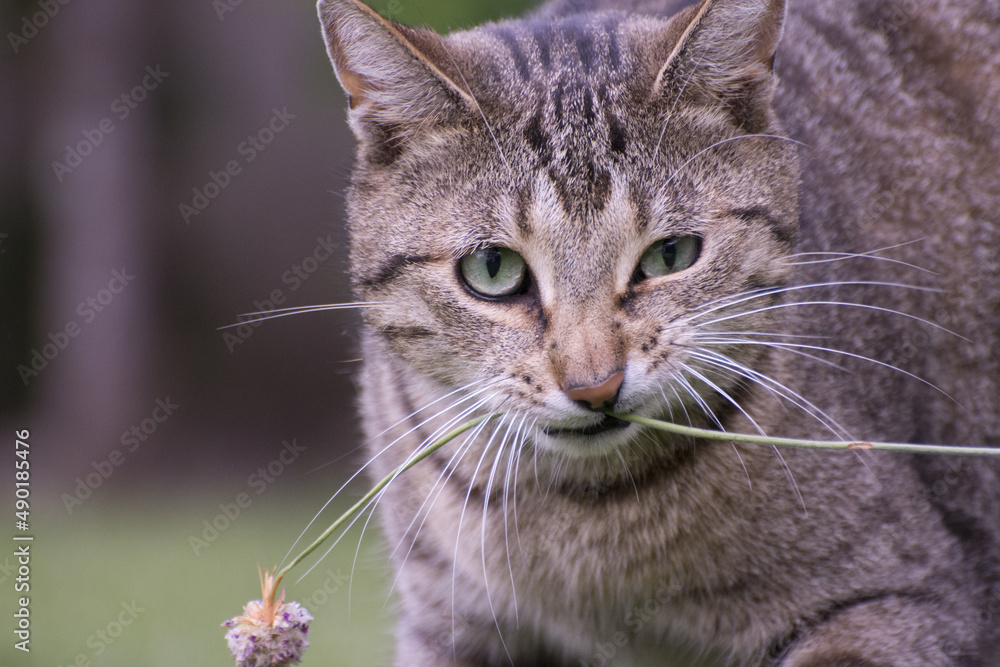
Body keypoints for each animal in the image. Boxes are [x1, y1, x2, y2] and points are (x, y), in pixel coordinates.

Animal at [314, 0, 1000, 664]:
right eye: (493, 269)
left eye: (671, 255)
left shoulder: (900, 597)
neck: (584, 514)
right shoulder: (447, 621)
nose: (594, 386)